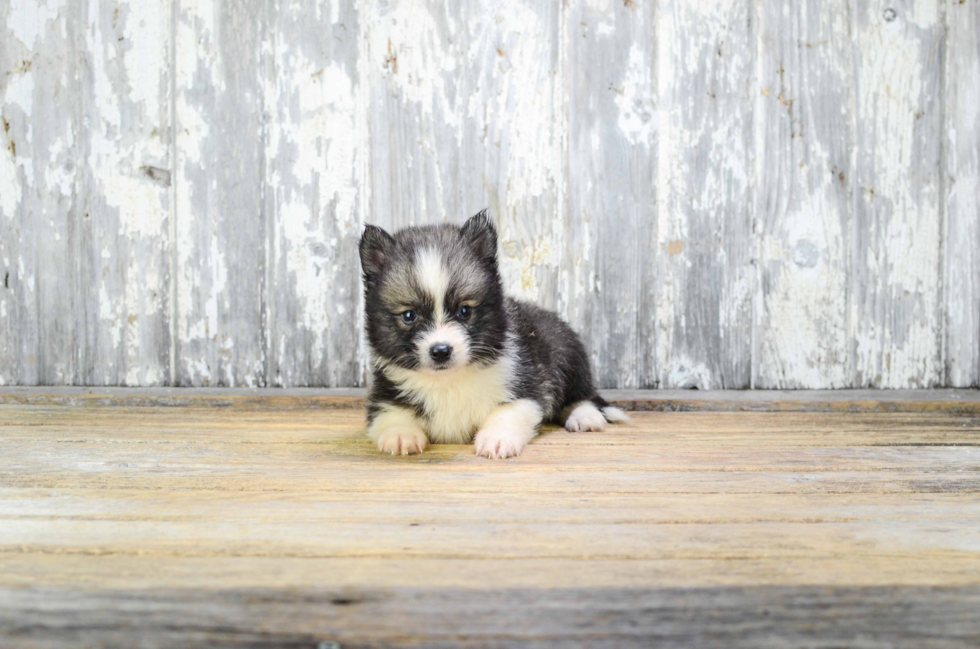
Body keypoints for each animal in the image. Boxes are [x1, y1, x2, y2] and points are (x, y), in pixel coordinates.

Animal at [360, 210, 628, 458]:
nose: (441, 351)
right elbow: (391, 413)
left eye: (464, 311)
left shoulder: (525, 385)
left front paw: (496, 439)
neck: (448, 380)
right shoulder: (385, 393)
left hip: (567, 354)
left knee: (583, 395)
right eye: (409, 315)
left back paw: (585, 416)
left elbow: (507, 412)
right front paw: (400, 435)